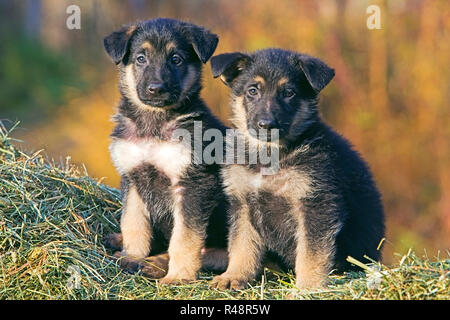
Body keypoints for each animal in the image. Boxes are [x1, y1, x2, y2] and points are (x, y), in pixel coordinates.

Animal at [102, 18, 229, 282]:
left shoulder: (192, 185)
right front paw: (132, 256)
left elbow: (185, 238)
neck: (155, 122)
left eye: (176, 59)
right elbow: (133, 223)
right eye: (141, 58)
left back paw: (153, 264)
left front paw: (178, 277)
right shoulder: (133, 178)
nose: (156, 88)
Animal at [209, 48, 384, 290]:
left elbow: (311, 253)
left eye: (289, 93)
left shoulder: (316, 205)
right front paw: (233, 276)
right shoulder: (242, 203)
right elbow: (241, 246)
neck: (269, 157)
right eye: (252, 91)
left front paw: (308, 287)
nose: (266, 124)